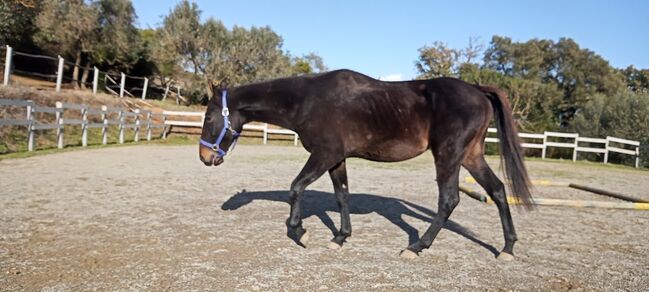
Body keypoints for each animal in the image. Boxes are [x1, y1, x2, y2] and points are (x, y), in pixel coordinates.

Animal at [199, 69, 532, 260]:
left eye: (209, 117)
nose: (205, 157)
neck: (307, 100)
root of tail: (478, 90)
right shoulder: (337, 159)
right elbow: (342, 195)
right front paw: (340, 238)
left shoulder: (324, 154)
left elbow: (295, 188)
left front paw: (300, 232)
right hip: (471, 156)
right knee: (498, 191)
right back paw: (508, 249)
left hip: (449, 156)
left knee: (449, 200)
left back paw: (416, 247)